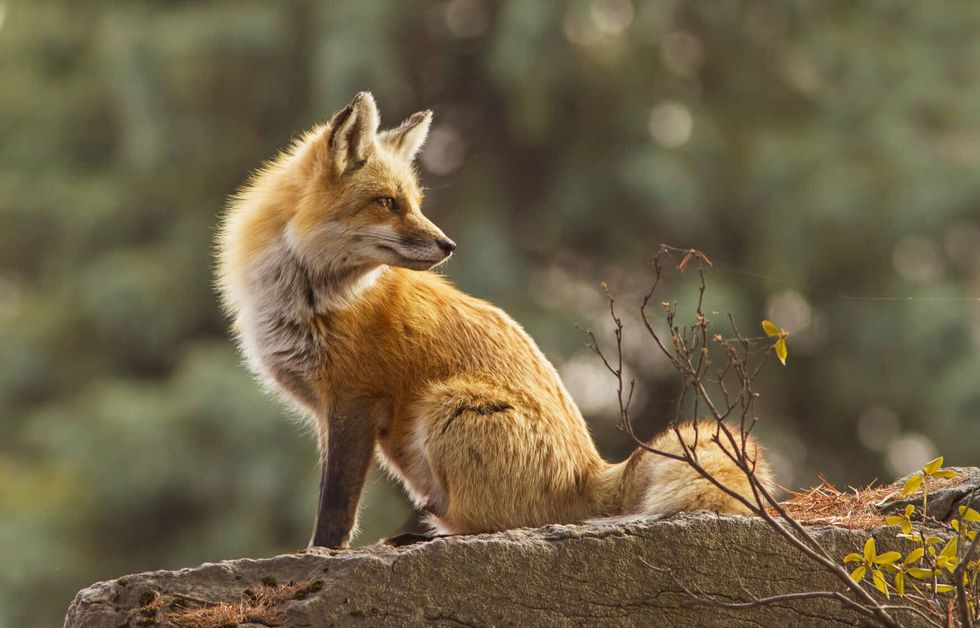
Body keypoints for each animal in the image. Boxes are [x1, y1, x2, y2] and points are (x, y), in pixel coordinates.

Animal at [216, 91, 772, 548]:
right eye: (388, 203)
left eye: (415, 203)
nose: (448, 245)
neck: (313, 295)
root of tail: (590, 470)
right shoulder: (330, 412)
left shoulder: (354, 399)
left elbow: (334, 508)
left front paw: (321, 555)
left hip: (447, 406)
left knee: (504, 526)